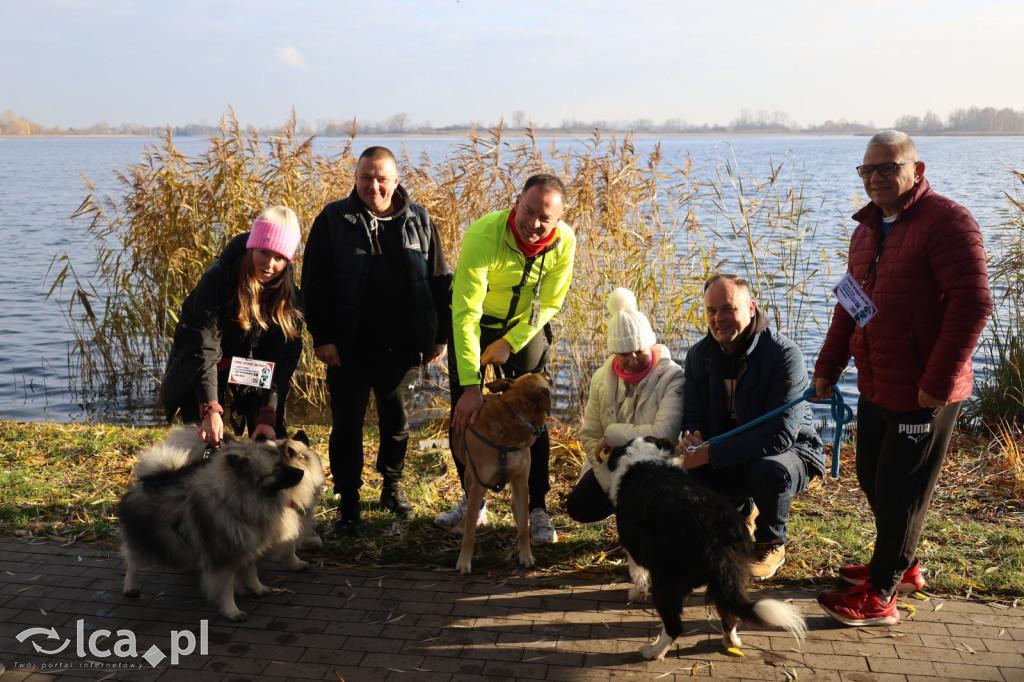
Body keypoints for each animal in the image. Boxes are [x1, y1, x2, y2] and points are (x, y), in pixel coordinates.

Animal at [452, 368, 552, 569]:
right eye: (541, 378)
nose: (545, 370)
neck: (516, 415)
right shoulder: (478, 486)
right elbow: (470, 533)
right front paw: (464, 561)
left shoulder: (521, 482)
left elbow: (523, 529)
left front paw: (526, 555)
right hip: (469, 477)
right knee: (469, 510)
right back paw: (461, 525)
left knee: (516, 509)